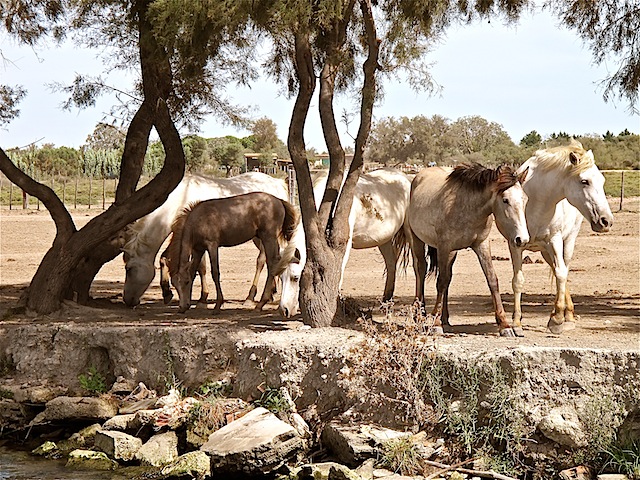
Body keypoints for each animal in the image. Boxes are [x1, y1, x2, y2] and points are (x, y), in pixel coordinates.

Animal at [119, 172, 288, 308]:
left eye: (129, 269)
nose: (127, 300)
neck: (181, 198)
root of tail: (278, 183)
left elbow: (201, 267)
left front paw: (202, 299)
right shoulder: (181, 235)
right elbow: (165, 258)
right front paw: (167, 293)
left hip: (265, 236)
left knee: (262, 261)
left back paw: (251, 297)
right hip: (259, 237)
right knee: (271, 258)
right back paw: (270, 293)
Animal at [278, 168, 410, 318]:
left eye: (295, 278)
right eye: (281, 278)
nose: (284, 310)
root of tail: (405, 178)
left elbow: (339, 270)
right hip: (384, 240)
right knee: (391, 265)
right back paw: (386, 302)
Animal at [496, 139, 616, 334]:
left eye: (602, 180)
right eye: (584, 181)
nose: (606, 221)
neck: (536, 203)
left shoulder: (555, 240)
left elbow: (561, 274)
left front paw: (558, 318)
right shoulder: (515, 244)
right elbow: (518, 281)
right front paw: (516, 322)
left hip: (566, 243)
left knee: (563, 270)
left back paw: (567, 316)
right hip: (545, 251)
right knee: (556, 269)